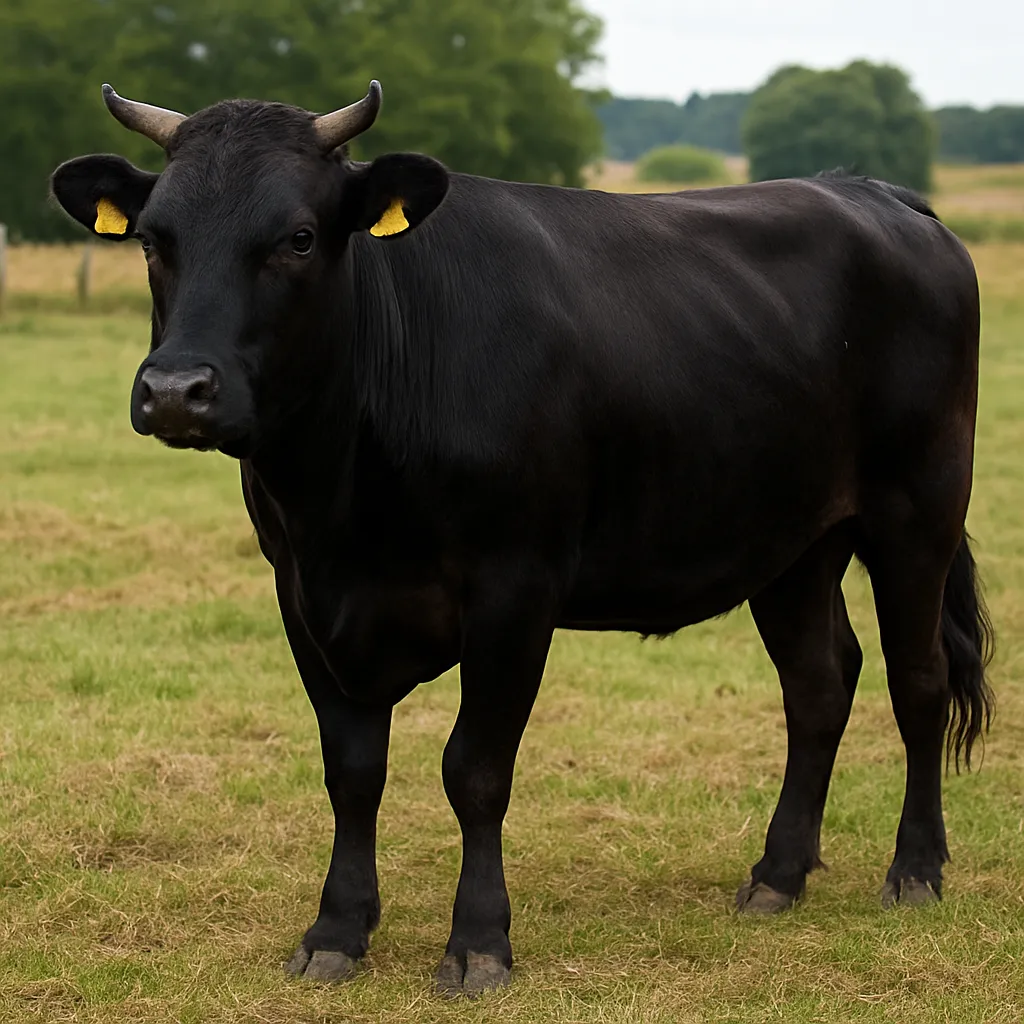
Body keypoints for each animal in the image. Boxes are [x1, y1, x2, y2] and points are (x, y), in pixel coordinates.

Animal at [51, 81, 993, 997]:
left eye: (299, 237)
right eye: (153, 239)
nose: (177, 391)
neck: (347, 500)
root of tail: (874, 193)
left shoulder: (514, 588)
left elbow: (474, 769)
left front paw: (477, 944)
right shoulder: (303, 594)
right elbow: (352, 770)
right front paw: (336, 931)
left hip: (919, 508)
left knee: (917, 680)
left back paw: (915, 871)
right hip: (794, 544)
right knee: (819, 685)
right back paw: (778, 874)